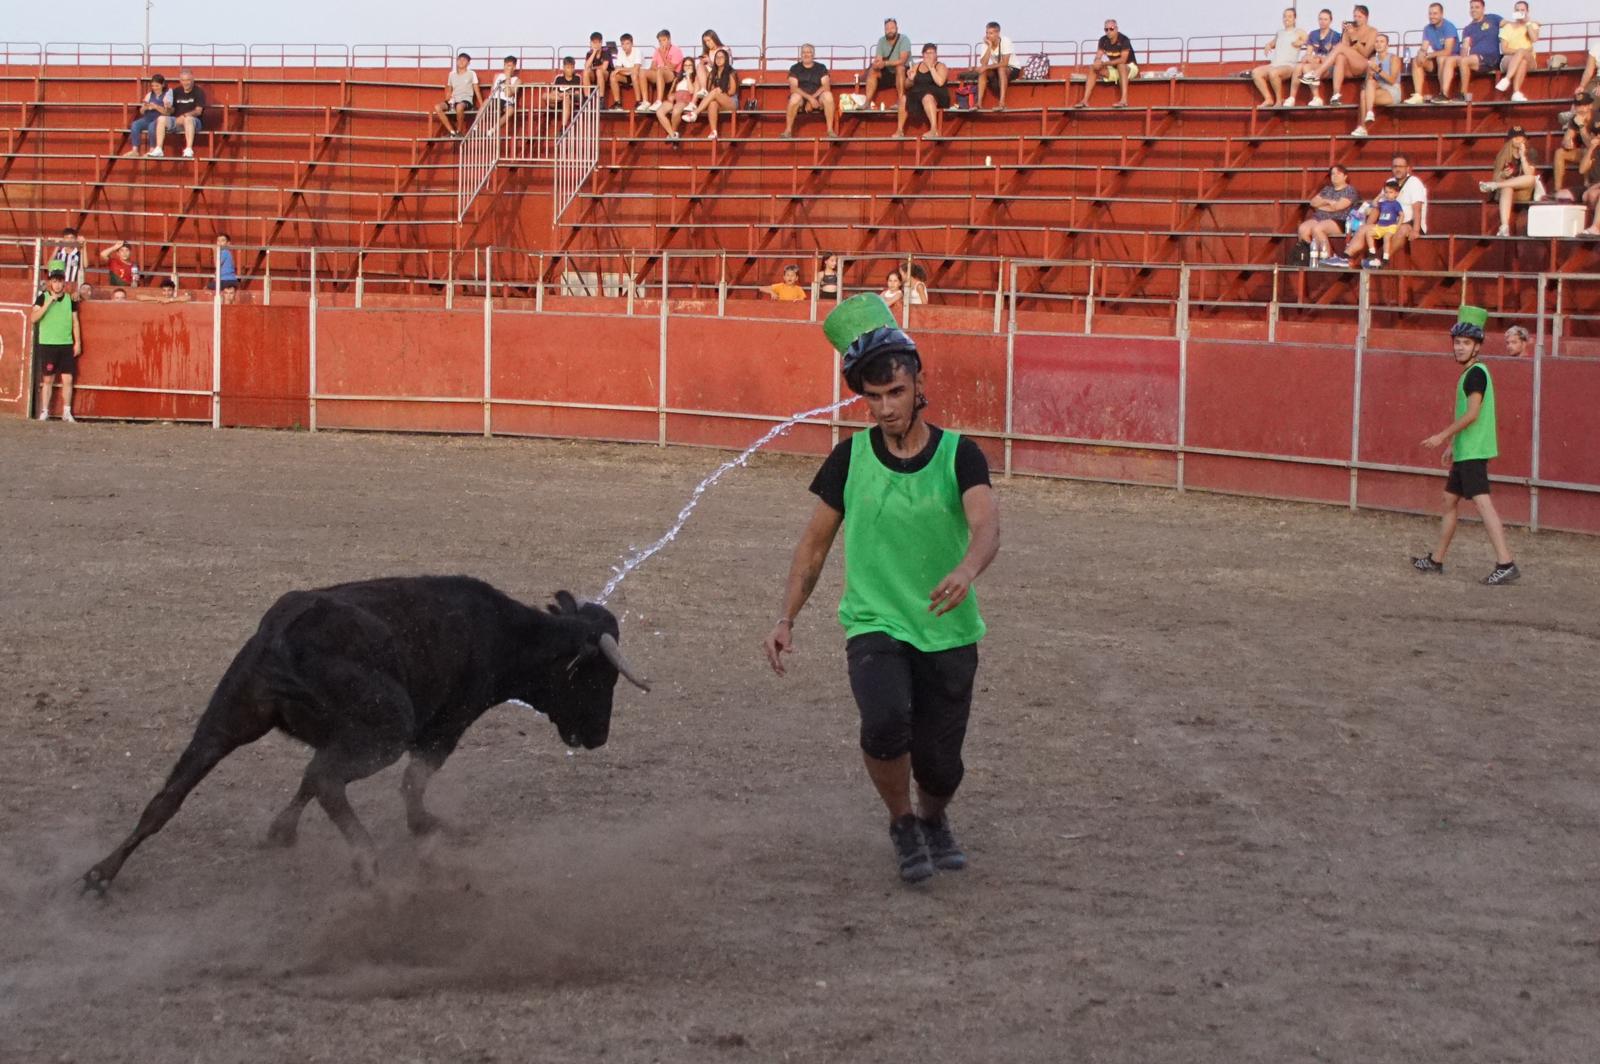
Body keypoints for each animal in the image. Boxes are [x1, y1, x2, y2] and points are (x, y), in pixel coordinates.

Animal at [82, 576, 649, 889]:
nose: (598, 737)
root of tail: (285, 634)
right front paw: (428, 826)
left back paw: (102, 873)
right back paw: (367, 862)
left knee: (169, 796)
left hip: (227, 717)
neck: (508, 634)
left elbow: (305, 783)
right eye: (599, 677)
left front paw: (281, 830)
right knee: (329, 780)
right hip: (385, 729)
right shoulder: (444, 726)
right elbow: (412, 783)